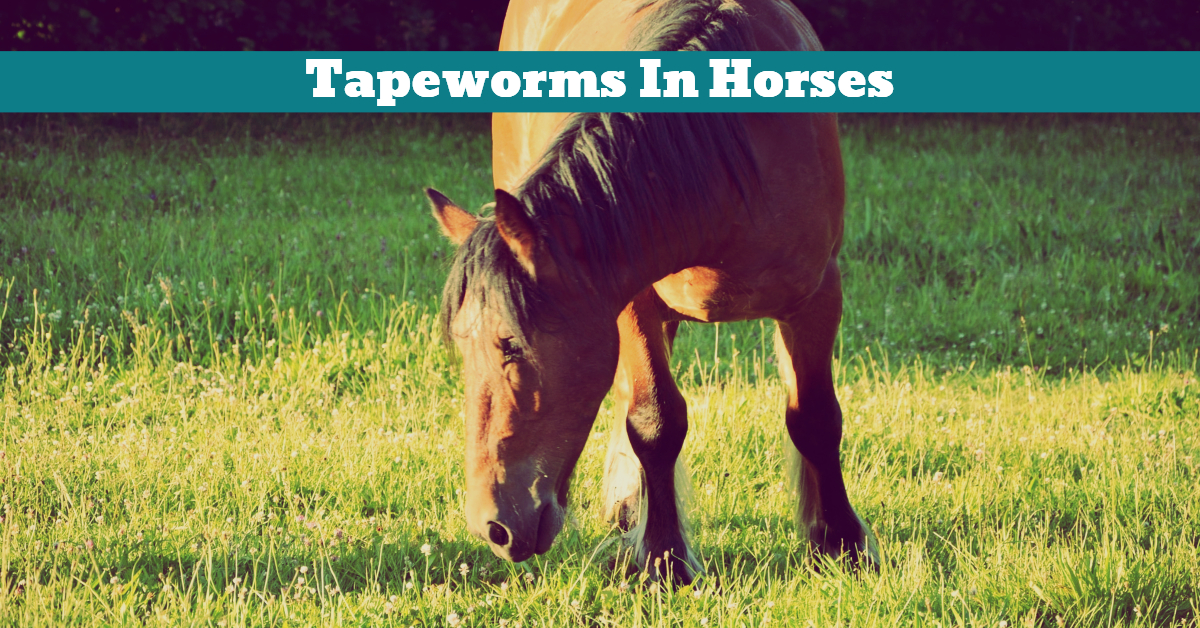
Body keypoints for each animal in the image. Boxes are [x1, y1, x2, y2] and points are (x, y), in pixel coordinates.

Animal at [425, 0, 878, 584]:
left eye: (511, 346)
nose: (492, 528)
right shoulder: (628, 303)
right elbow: (654, 421)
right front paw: (665, 558)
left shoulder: (816, 297)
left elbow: (816, 418)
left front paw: (842, 544)